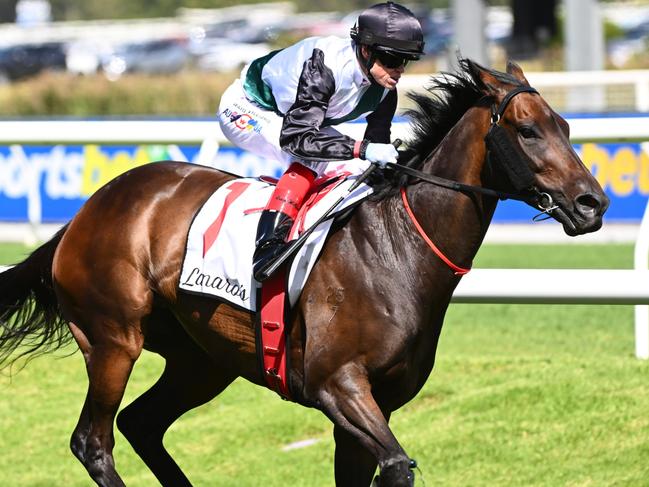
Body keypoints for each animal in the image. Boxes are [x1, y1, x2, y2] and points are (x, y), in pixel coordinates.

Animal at [0, 59, 604, 486]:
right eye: (527, 130)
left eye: (565, 125)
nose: (592, 203)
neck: (395, 249)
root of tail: (84, 213)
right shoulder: (336, 384)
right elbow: (398, 465)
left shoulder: (374, 404)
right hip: (113, 340)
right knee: (93, 442)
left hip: (201, 361)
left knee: (142, 425)